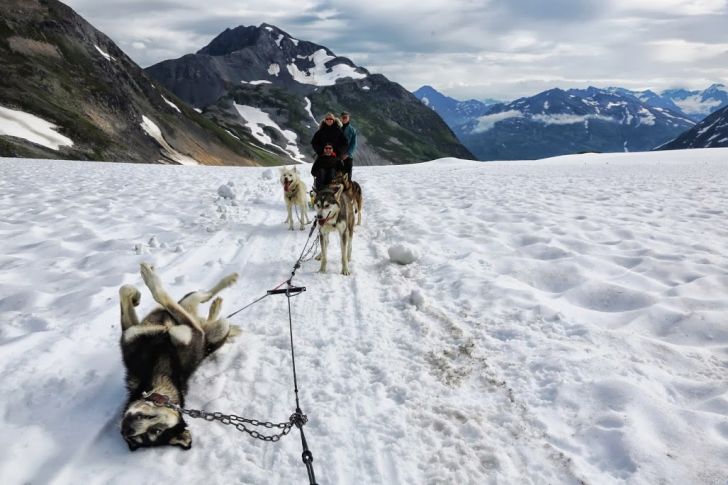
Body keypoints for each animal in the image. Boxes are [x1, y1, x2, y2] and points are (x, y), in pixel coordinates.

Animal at [118, 260, 239, 450]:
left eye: (156, 431)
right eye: (138, 438)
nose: (127, 429)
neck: (156, 372)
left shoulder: (192, 332)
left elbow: (159, 293)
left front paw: (148, 280)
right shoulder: (132, 333)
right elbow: (125, 289)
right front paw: (136, 295)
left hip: (217, 326)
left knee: (201, 297)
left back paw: (226, 285)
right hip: (201, 316)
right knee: (199, 301)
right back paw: (216, 305)